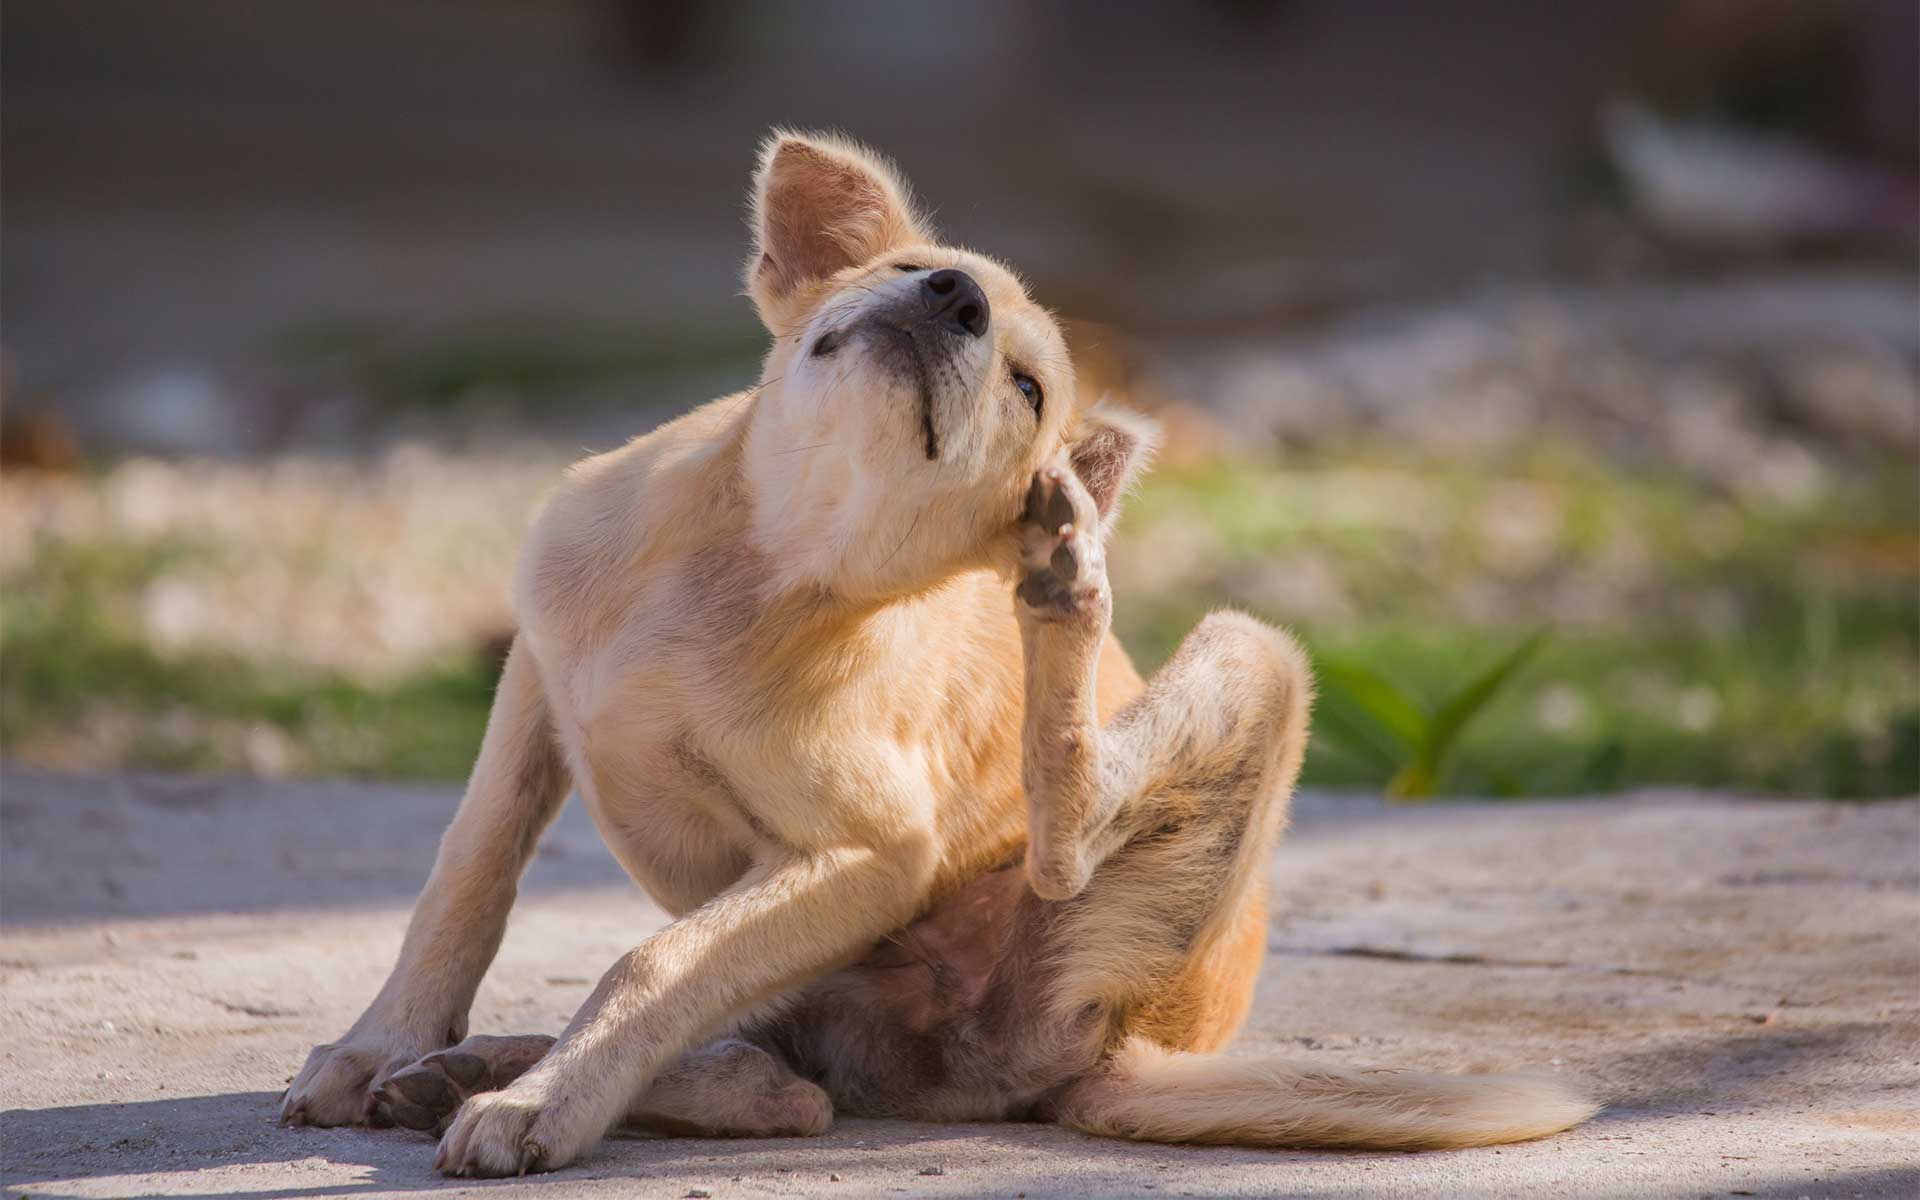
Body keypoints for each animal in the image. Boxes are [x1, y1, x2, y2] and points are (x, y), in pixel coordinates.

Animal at [284, 130, 1597, 1167]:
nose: (954, 298)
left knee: (1002, 895)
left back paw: (1065, 591)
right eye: (916, 272)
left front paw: (543, 1105)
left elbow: (651, 965)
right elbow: (467, 874)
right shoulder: (534, 685)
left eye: (1027, 387)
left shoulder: (869, 853)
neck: (757, 564)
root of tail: (1122, 1054)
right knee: (785, 1081)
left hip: (1241, 678)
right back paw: (472, 1069)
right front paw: (381, 1043)